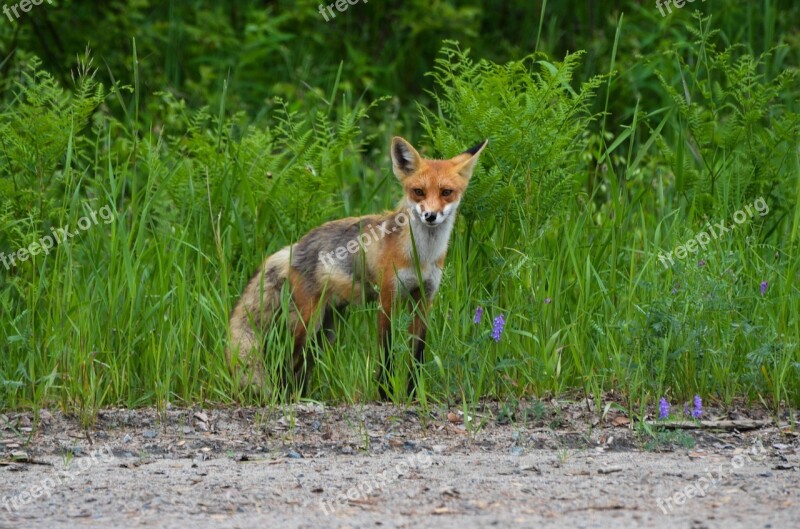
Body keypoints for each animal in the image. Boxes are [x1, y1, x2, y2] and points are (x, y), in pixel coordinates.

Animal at [225, 136, 488, 396]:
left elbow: (417, 356)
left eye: (446, 192)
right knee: (286, 363)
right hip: (309, 323)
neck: (420, 257)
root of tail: (295, 246)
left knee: (303, 367)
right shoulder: (387, 298)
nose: (430, 216)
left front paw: (414, 396)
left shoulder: (424, 299)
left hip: (327, 331)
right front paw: (385, 395)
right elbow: (386, 354)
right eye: (418, 192)